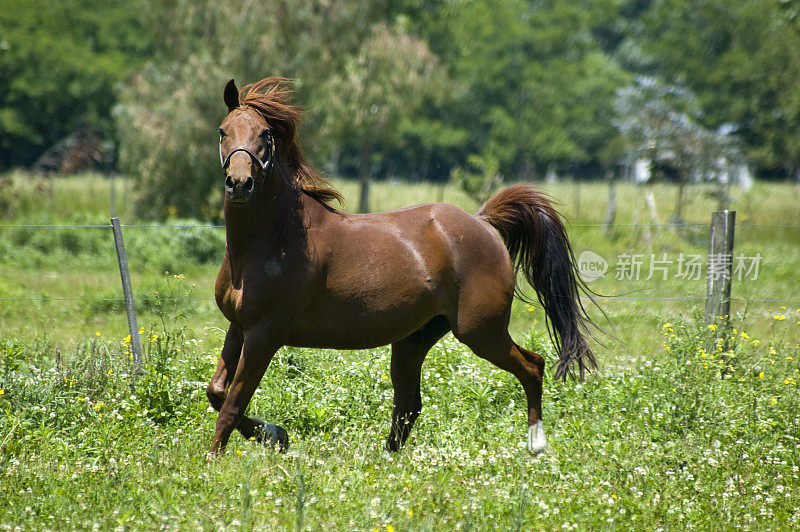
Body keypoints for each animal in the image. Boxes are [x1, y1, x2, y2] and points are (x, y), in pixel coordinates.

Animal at [206, 76, 592, 458]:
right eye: (223, 131)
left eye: (265, 134)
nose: (239, 183)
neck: (274, 238)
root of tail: (483, 223)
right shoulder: (239, 327)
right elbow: (217, 392)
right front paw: (275, 435)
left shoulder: (265, 333)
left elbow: (233, 403)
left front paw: (216, 457)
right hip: (415, 338)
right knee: (409, 403)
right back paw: (389, 459)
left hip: (481, 331)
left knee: (532, 366)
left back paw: (536, 445)